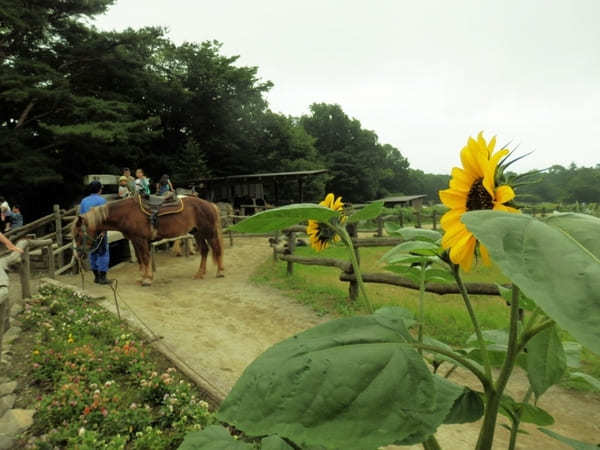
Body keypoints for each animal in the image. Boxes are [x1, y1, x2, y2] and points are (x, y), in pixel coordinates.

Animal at [72, 196, 223, 286]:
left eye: (78, 234)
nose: (78, 254)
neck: (126, 213)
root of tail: (209, 204)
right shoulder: (135, 241)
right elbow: (140, 259)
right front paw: (142, 277)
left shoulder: (141, 240)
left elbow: (145, 258)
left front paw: (147, 279)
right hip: (197, 233)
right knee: (205, 250)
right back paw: (199, 274)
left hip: (209, 232)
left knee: (216, 249)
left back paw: (220, 272)